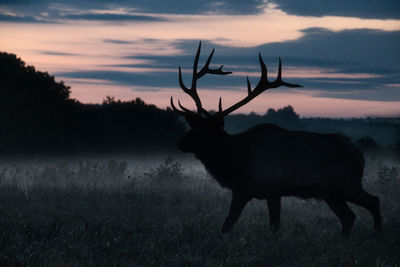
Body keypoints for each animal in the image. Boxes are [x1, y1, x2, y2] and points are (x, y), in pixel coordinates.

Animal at [170, 42, 382, 237]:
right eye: (194, 127)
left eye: (205, 131)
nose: (180, 143)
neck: (237, 160)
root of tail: (357, 154)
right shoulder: (241, 191)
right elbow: (226, 225)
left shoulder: (273, 189)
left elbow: (274, 227)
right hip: (331, 192)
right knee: (349, 217)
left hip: (347, 183)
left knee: (374, 201)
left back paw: (378, 236)